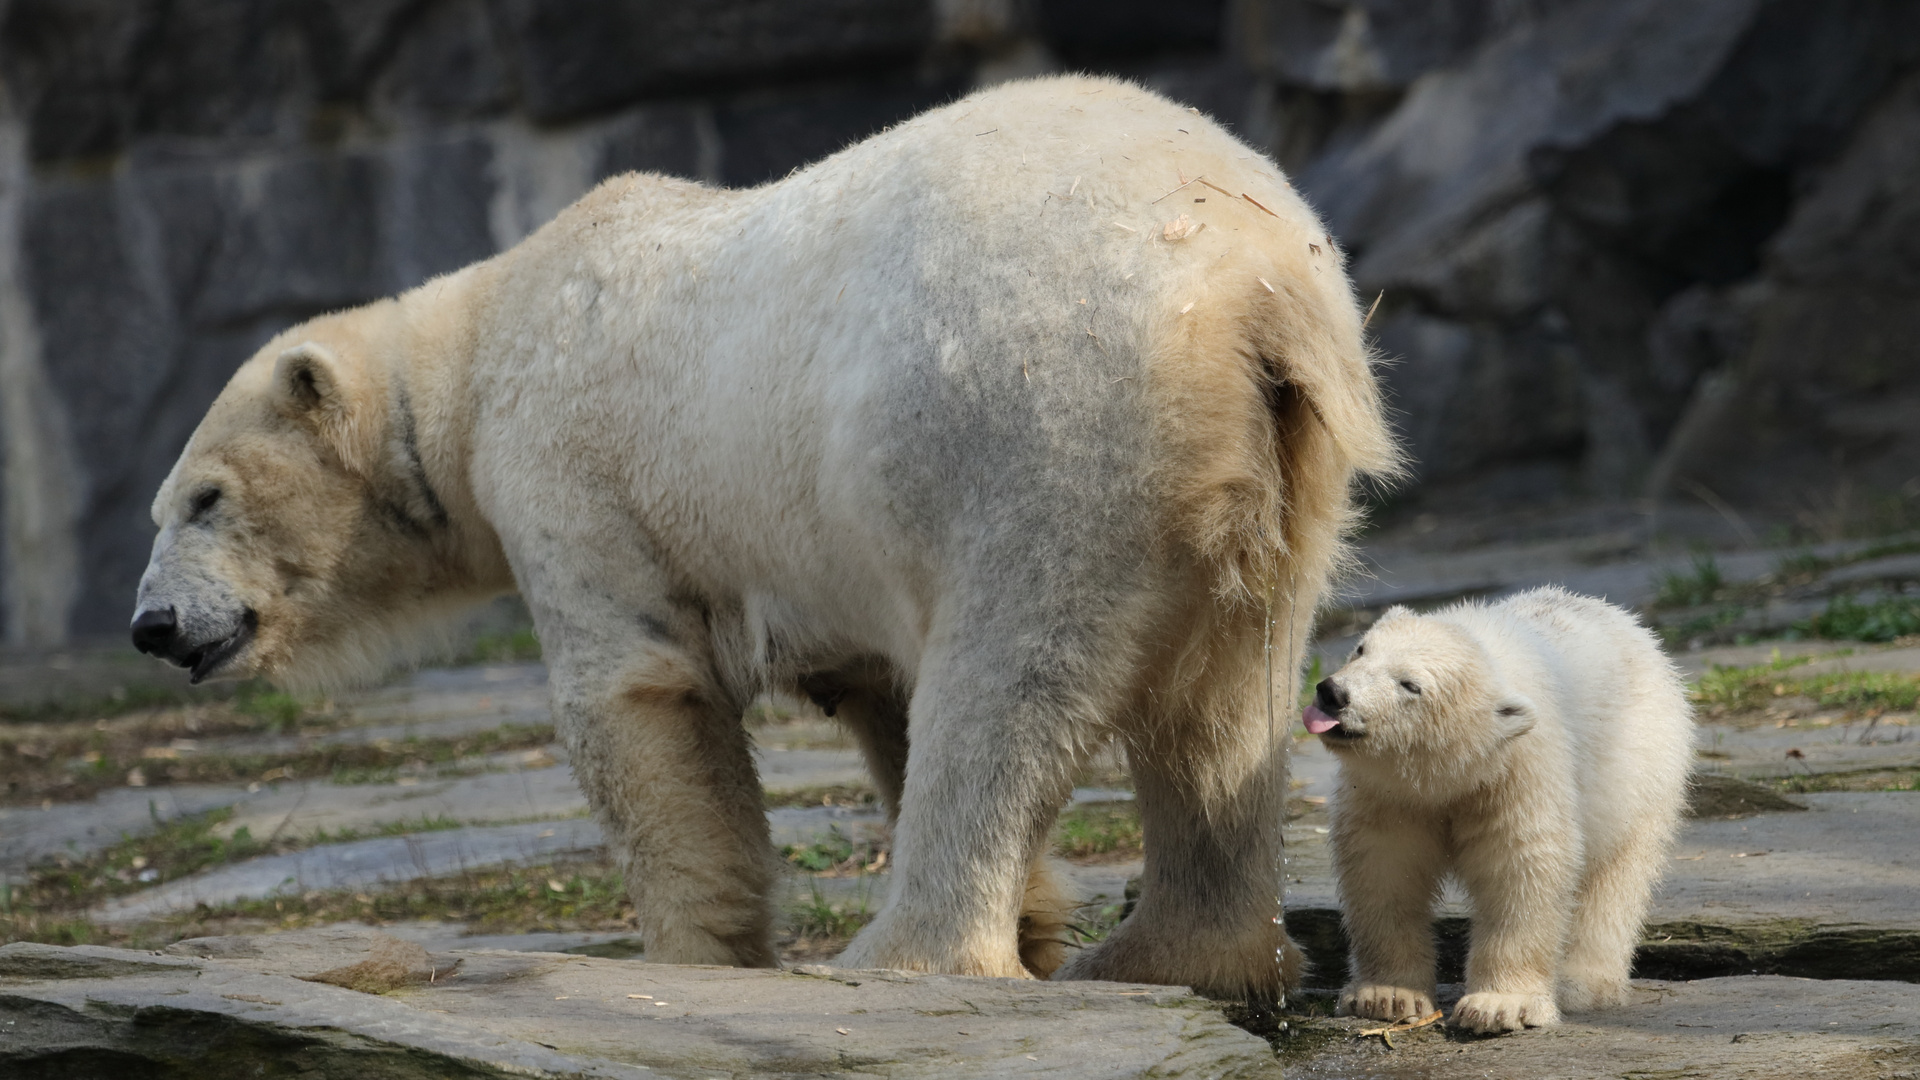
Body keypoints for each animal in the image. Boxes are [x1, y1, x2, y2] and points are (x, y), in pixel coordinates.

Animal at [131, 75, 1397, 991]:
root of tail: (1253, 287)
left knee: (1009, 678)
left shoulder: (571, 470)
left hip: (1044, 419)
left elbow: (637, 698)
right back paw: (1174, 956)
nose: (152, 624)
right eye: (165, 508)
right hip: (1276, 460)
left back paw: (904, 958)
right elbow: (881, 693)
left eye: (204, 498)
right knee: (1226, 697)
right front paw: (1042, 920)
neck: (478, 351)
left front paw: (690, 958)